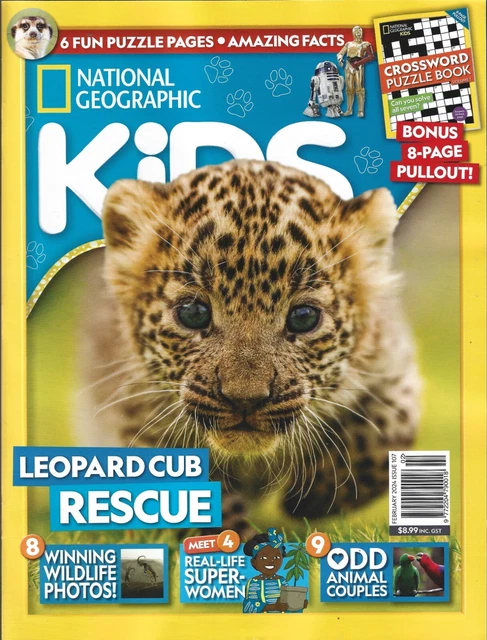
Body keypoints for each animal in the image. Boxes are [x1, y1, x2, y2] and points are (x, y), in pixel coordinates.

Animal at [76, 159, 421, 538]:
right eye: (193, 313)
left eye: (303, 317)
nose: (245, 400)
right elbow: (183, 499)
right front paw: (235, 541)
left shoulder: (390, 363)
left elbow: (391, 428)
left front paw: (311, 498)